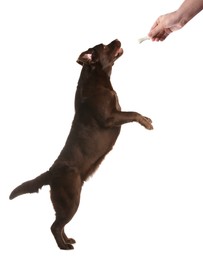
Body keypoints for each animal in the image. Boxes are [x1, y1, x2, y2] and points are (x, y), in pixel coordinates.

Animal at [8, 39, 153, 250]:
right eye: (105, 46)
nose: (117, 39)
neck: (97, 80)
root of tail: (51, 172)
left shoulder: (116, 114)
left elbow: (132, 111)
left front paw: (147, 119)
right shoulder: (110, 118)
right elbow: (133, 112)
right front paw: (146, 122)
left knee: (59, 225)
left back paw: (67, 240)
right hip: (71, 199)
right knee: (55, 226)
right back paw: (64, 247)